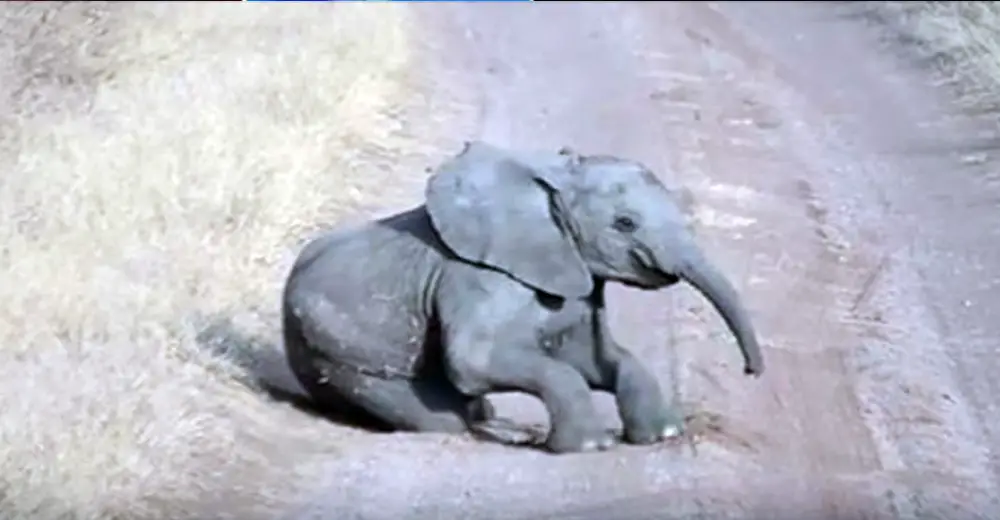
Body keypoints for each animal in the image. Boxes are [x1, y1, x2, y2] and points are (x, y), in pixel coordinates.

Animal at [281, 140, 765, 454]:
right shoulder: (475, 279)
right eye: (625, 223)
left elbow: (595, 358)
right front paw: (592, 446)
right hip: (335, 351)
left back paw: (504, 428)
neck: (550, 183)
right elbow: (476, 363)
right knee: (438, 416)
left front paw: (662, 437)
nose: (751, 371)